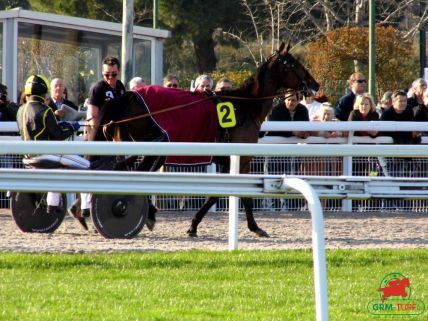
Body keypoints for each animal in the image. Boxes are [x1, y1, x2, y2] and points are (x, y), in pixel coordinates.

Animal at [88, 42, 318, 238]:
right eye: (294, 64)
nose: (314, 84)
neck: (244, 106)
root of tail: (128, 96)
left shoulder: (227, 160)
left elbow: (221, 194)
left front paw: (195, 225)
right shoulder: (241, 158)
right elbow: (239, 195)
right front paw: (254, 227)